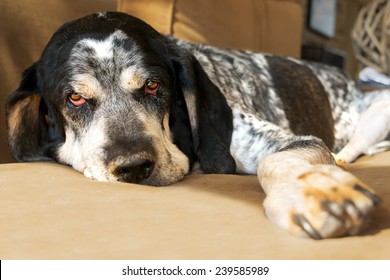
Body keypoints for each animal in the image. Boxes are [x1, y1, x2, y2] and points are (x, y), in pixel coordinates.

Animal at [6, 10, 386, 238]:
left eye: (153, 85)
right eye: (75, 98)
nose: (134, 167)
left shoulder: (279, 141)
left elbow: (277, 159)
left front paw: (318, 191)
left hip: (376, 116)